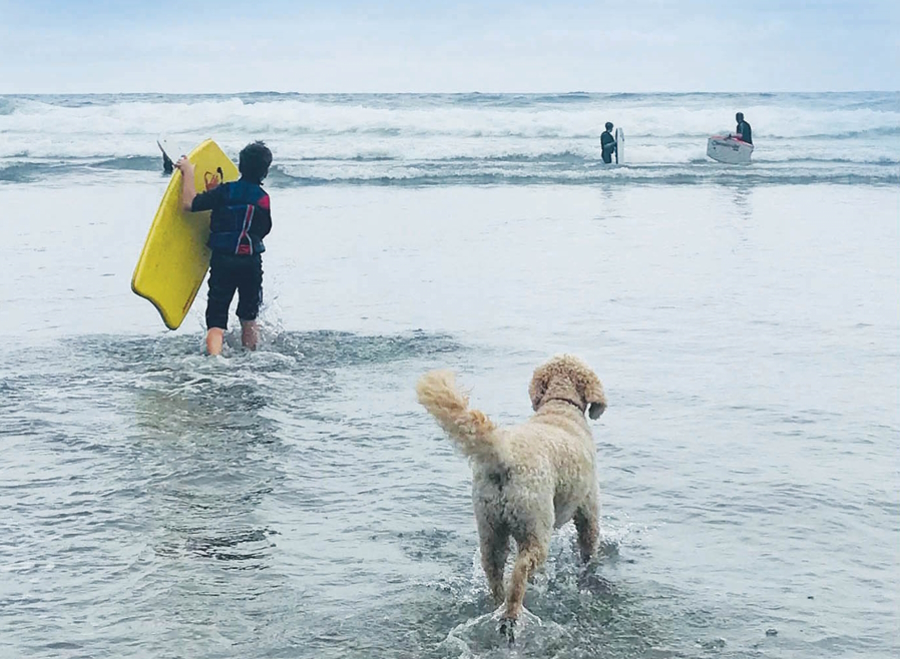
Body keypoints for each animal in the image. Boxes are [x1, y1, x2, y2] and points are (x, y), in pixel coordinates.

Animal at [416, 356, 604, 640]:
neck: (560, 407)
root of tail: (504, 456)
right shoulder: (588, 507)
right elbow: (588, 543)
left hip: (490, 527)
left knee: (494, 570)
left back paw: (498, 604)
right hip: (535, 527)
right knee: (520, 572)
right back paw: (511, 615)